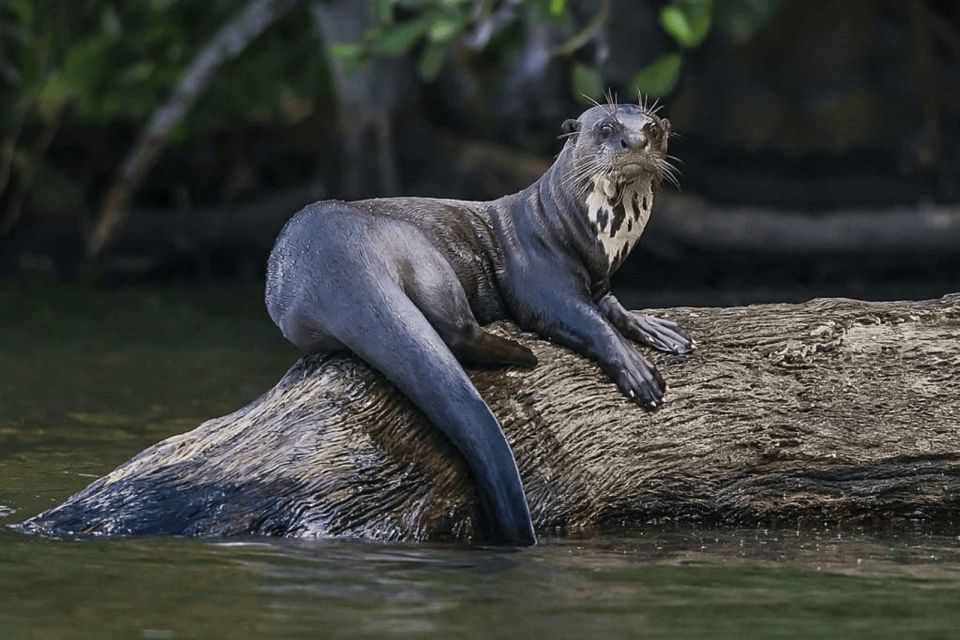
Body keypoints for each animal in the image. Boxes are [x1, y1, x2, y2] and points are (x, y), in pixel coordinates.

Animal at [266, 99, 692, 544]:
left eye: (652, 128)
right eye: (606, 128)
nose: (636, 141)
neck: (574, 229)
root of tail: (334, 259)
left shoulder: (600, 280)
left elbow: (612, 307)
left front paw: (657, 329)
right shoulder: (539, 277)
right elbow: (584, 321)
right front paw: (637, 371)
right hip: (421, 252)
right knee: (457, 331)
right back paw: (522, 354)